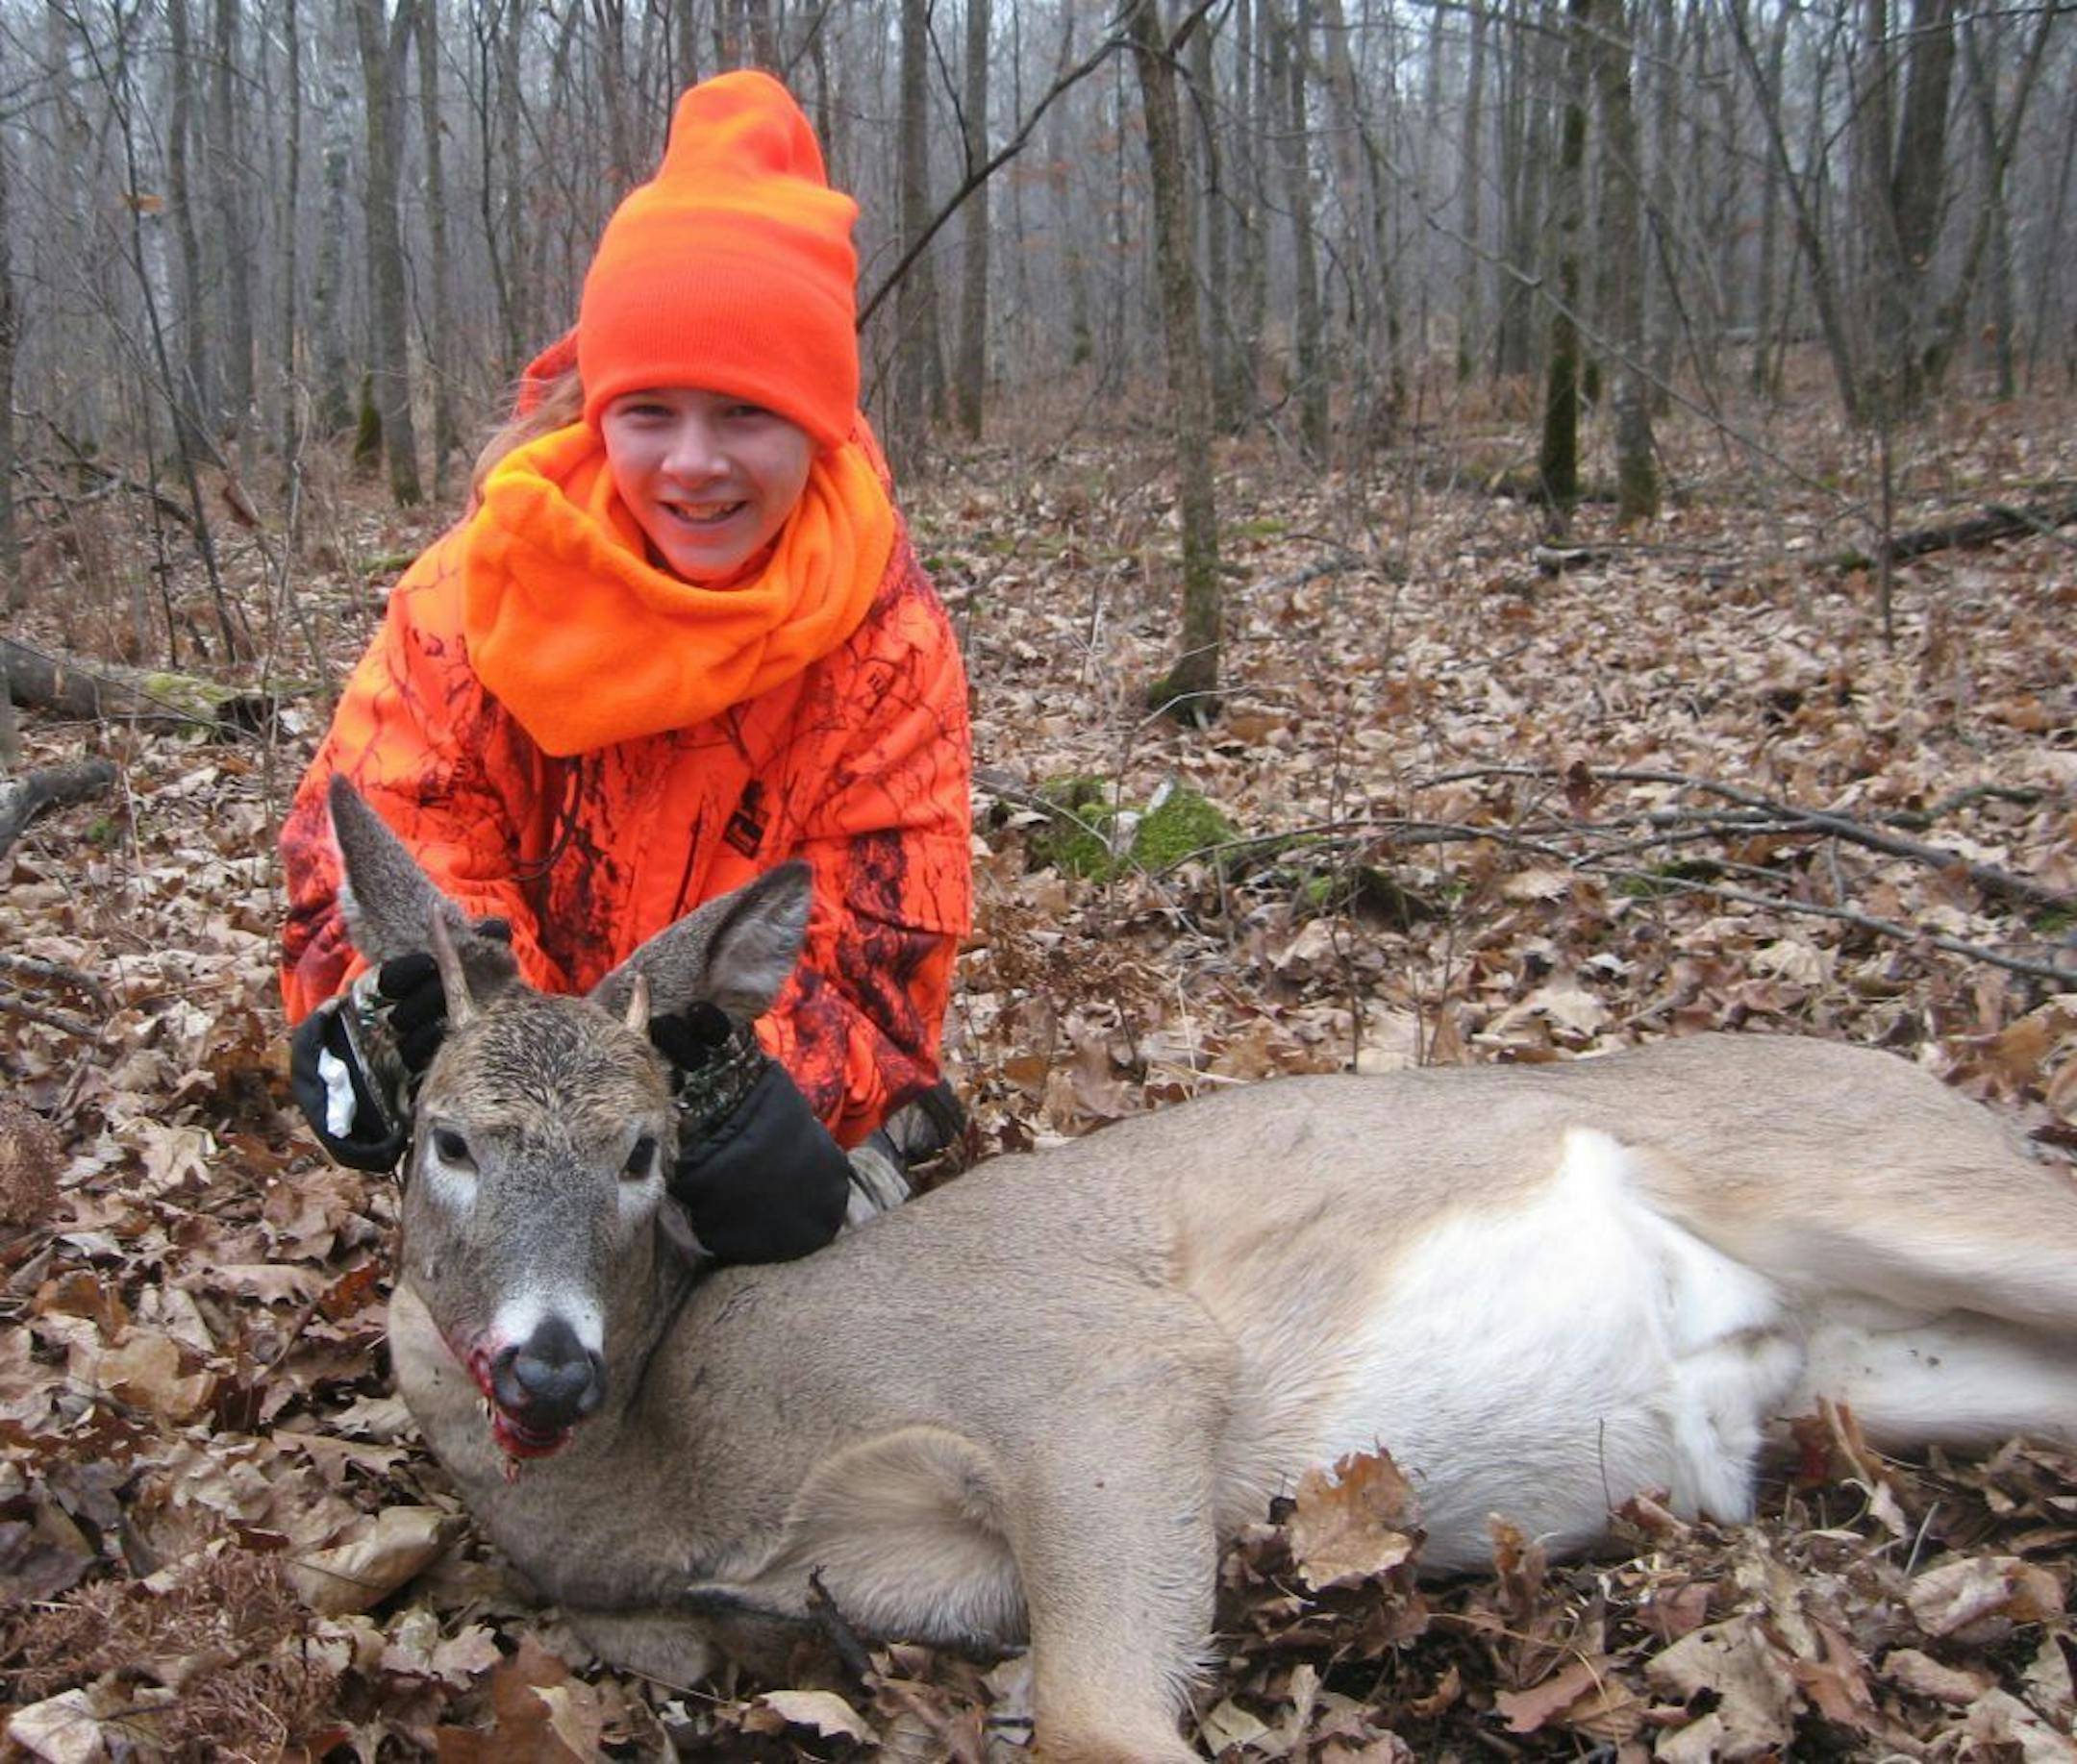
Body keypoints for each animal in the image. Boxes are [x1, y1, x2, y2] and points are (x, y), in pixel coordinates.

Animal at [325, 775, 2077, 1764]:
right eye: (448, 1139)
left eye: (645, 1150)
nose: (550, 1358)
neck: (686, 1461)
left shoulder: (1098, 1362)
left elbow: (1097, 1724)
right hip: (1880, 1372)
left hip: (1882, 1181)